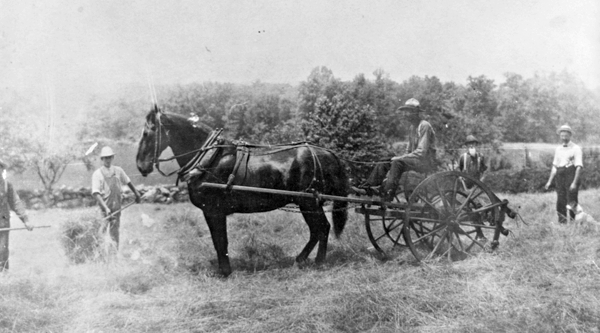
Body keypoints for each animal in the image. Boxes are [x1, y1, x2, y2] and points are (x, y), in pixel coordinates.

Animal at [137, 105, 350, 274]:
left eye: (147, 133)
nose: (140, 166)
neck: (211, 158)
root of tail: (328, 153)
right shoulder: (212, 212)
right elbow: (218, 240)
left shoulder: (213, 211)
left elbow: (220, 240)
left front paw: (224, 271)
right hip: (307, 203)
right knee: (317, 230)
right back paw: (301, 259)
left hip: (309, 201)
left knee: (322, 228)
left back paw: (319, 261)